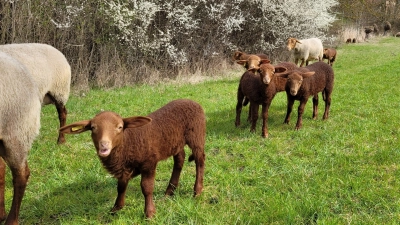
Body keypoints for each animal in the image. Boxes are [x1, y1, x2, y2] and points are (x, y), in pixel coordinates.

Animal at [59, 99, 206, 218]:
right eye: (93, 128)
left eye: (120, 127)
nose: (104, 145)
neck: (128, 140)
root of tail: (192, 101)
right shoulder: (124, 168)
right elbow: (121, 187)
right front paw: (116, 209)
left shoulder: (149, 162)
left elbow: (147, 188)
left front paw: (149, 213)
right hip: (176, 142)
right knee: (180, 159)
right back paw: (169, 191)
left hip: (196, 135)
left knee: (200, 160)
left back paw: (197, 191)